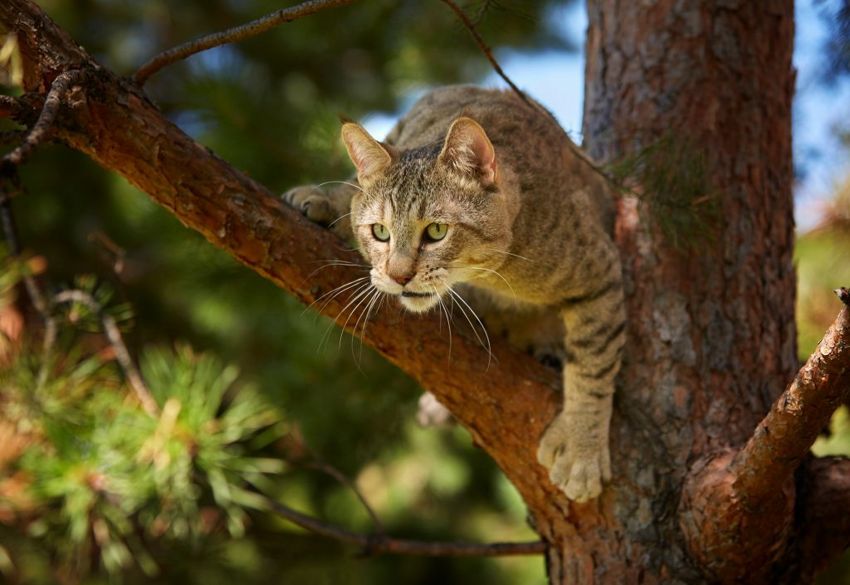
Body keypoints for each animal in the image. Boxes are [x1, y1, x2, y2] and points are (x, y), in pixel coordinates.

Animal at [284, 84, 624, 500]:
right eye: (379, 232)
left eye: (436, 231)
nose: (398, 275)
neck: (488, 275)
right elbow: (353, 187)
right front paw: (329, 201)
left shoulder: (601, 272)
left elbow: (594, 364)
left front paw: (581, 450)